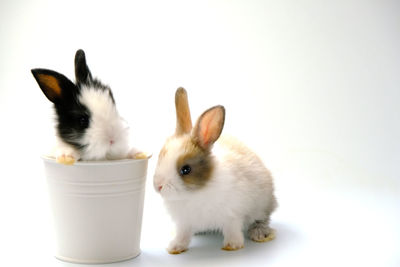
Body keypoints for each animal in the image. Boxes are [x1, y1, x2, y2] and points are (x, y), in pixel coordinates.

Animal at [153, 88, 278, 255]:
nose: (158, 186)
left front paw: (232, 245)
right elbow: (183, 235)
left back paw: (260, 233)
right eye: (160, 157)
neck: (195, 193)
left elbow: (232, 229)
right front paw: (175, 247)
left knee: (262, 219)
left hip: (262, 204)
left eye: (186, 169)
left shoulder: (232, 215)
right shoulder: (184, 222)